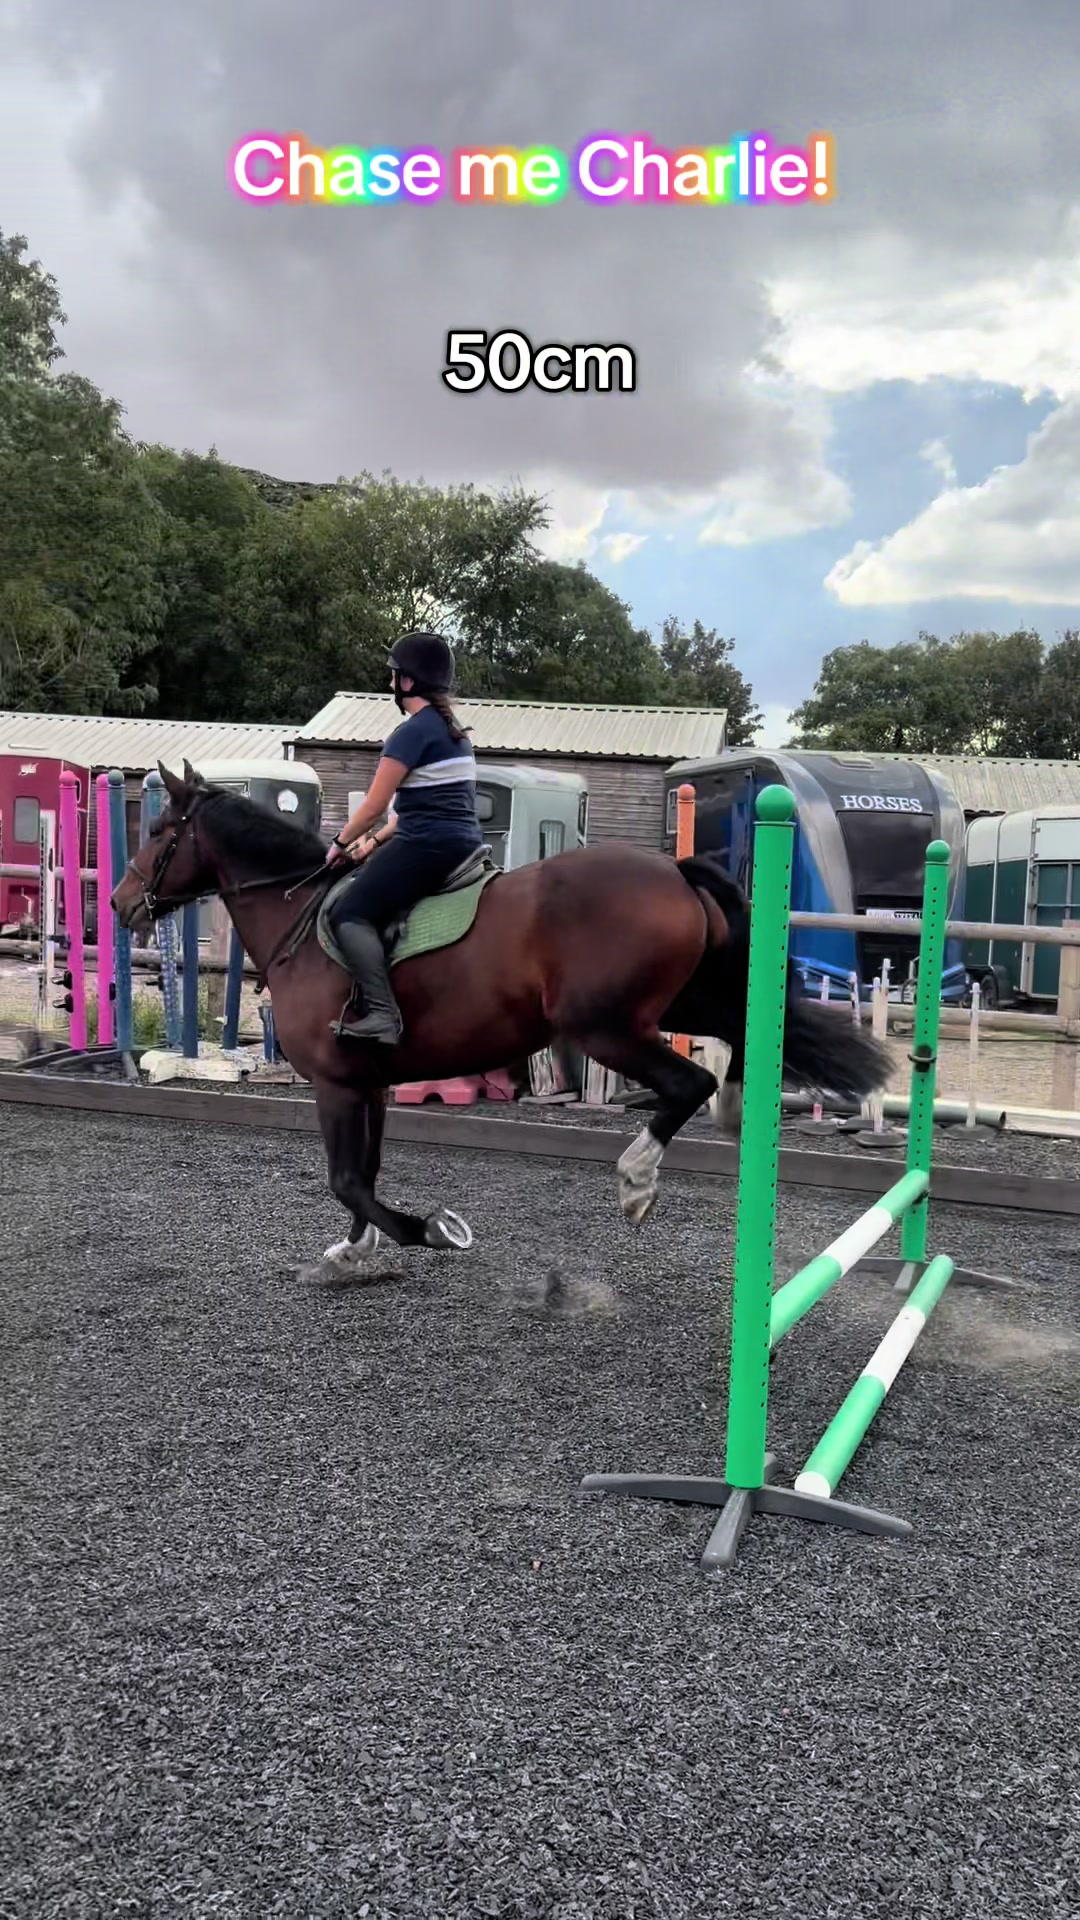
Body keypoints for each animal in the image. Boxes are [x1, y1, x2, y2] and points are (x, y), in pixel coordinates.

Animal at [111, 762, 891, 1268]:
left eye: (157, 831)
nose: (121, 904)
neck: (298, 910)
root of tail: (670, 868)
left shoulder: (335, 1084)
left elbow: (348, 1178)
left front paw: (425, 1232)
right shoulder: (367, 1083)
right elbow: (364, 1171)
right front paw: (357, 1245)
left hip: (602, 1026)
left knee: (685, 1083)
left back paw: (638, 1179)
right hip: (676, 999)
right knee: (738, 1029)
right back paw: (732, 1111)